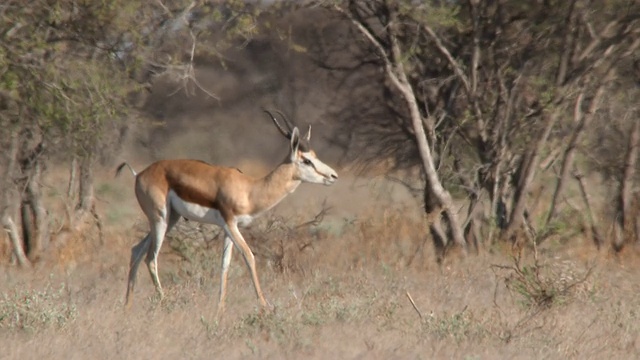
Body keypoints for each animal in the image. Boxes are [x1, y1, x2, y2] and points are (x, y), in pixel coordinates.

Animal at [117, 109, 338, 316]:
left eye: (315, 156)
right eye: (306, 160)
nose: (333, 175)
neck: (250, 190)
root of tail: (139, 174)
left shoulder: (228, 228)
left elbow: (225, 265)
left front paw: (219, 310)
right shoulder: (230, 223)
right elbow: (249, 257)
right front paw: (265, 306)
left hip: (171, 218)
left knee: (136, 250)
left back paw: (127, 307)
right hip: (160, 219)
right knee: (151, 258)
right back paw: (165, 303)